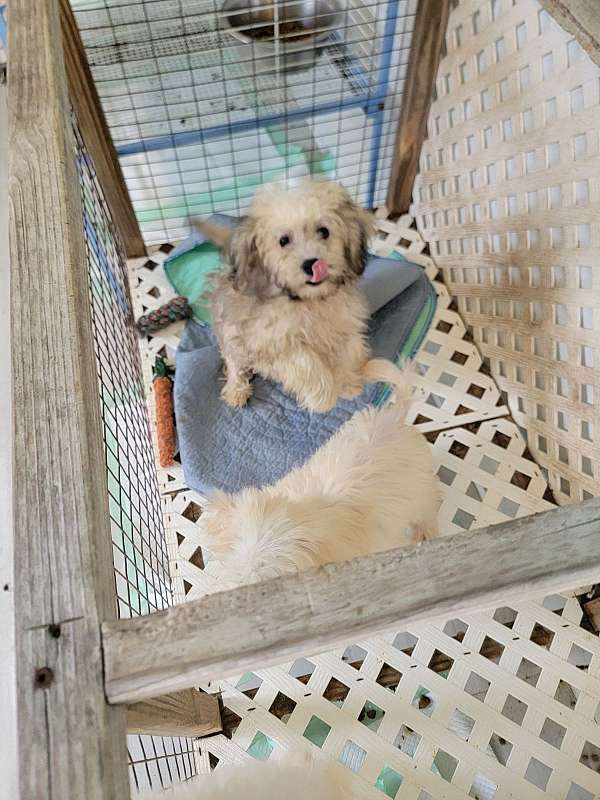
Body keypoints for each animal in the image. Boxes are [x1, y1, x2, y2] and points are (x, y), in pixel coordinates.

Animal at [199, 180, 382, 412]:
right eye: (283, 240)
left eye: (324, 231)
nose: (311, 264)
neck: (310, 301)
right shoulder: (271, 343)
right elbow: (306, 362)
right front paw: (324, 398)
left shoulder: (345, 326)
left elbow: (349, 352)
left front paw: (348, 383)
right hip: (231, 332)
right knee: (234, 362)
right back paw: (236, 390)